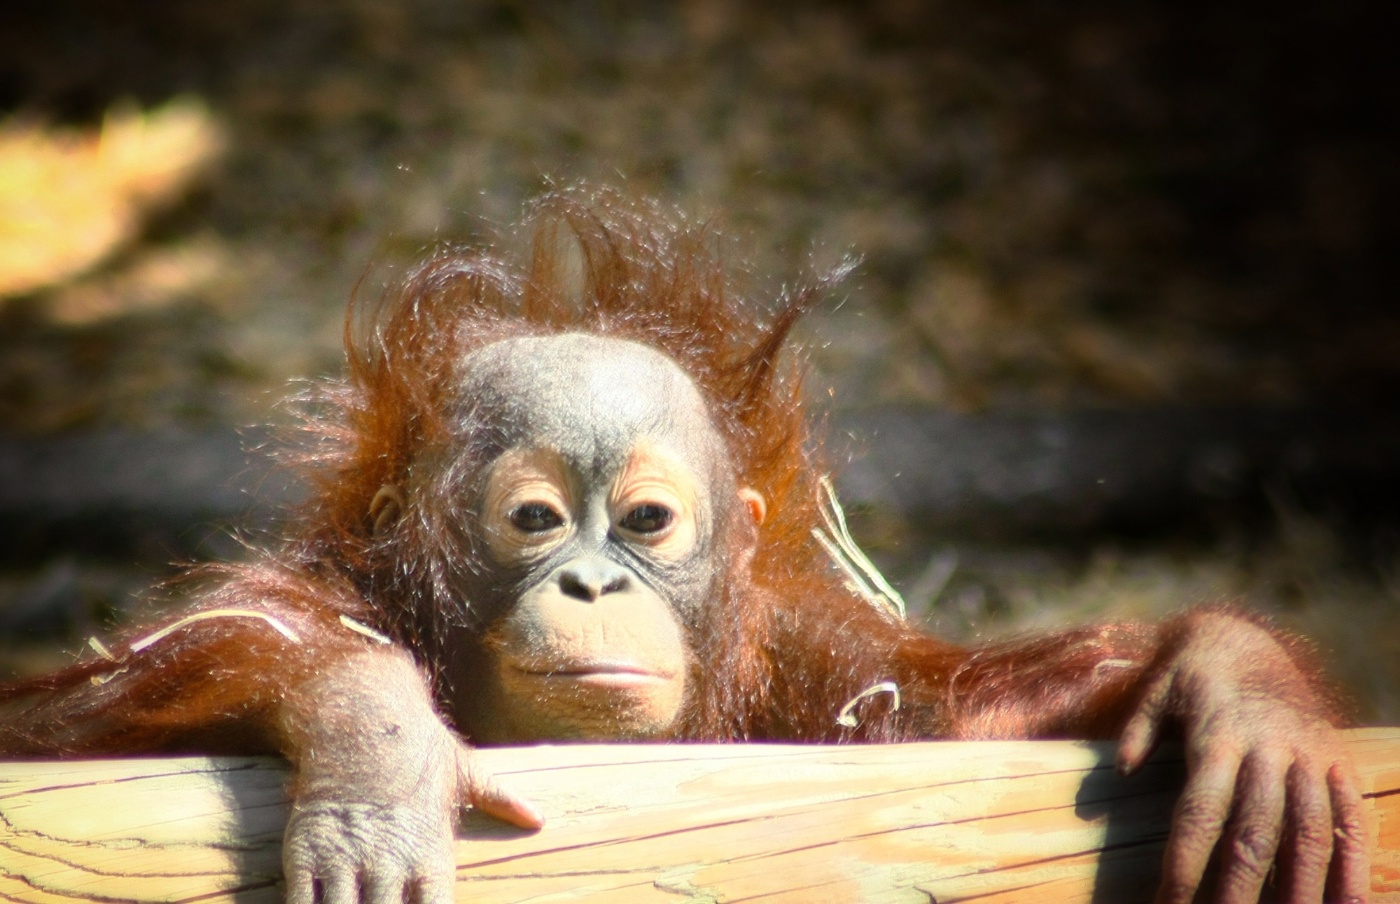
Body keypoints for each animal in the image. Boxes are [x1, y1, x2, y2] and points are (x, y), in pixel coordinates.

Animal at [0, 188, 1368, 904]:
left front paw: (1236, 683)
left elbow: (943, 714)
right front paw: (376, 745)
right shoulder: (319, 587)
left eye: (647, 522)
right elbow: (64, 740)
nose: (594, 576)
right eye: (535, 521)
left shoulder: (811, 658)